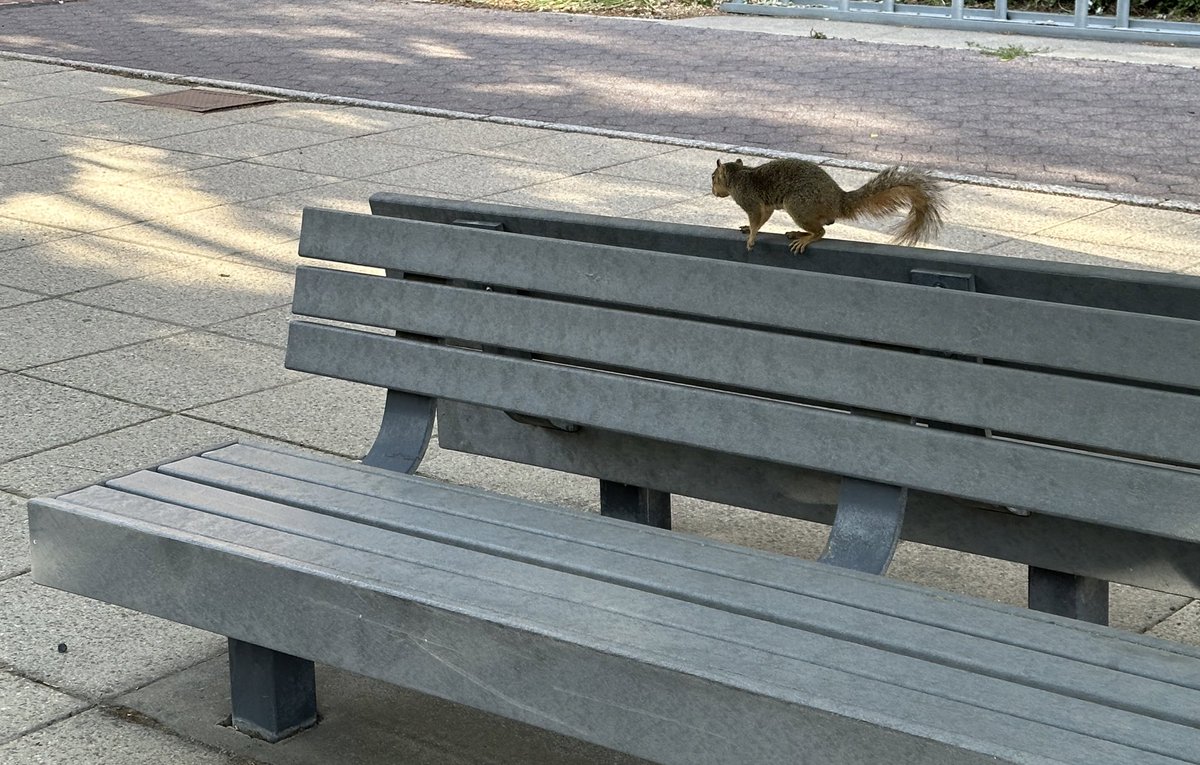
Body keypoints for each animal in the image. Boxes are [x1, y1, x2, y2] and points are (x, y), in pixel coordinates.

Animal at [710, 158, 945, 254]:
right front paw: (749, 230)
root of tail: (839, 200)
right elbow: (762, 219)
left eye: (713, 177)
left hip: (798, 205)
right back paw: (797, 233)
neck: (739, 175)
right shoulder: (765, 206)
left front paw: (751, 238)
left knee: (821, 231)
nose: (712, 192)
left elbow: (756, 219)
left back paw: (804, 238)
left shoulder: (750, 202)